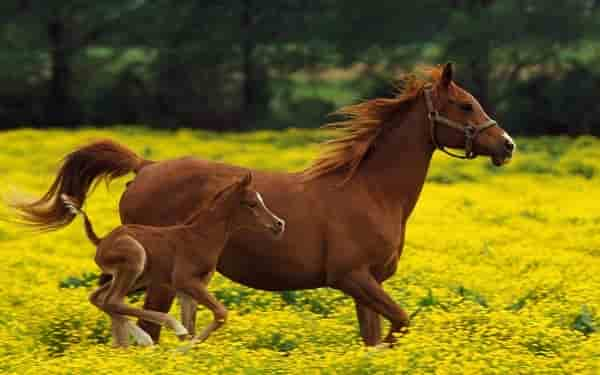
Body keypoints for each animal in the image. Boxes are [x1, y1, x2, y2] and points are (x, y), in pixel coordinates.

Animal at [62, 172, 284, 348]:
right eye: (252, 203)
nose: (279, 224)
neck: (201, 237)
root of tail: (102, 241)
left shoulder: (189, 289)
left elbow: (192, 325)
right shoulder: (185, 281)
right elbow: (220, 313)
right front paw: (180, 348)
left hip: (137, 276)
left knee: (100, 298)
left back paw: (123, 345)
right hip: (136, 259)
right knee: (113, 300)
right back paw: (151, 335)